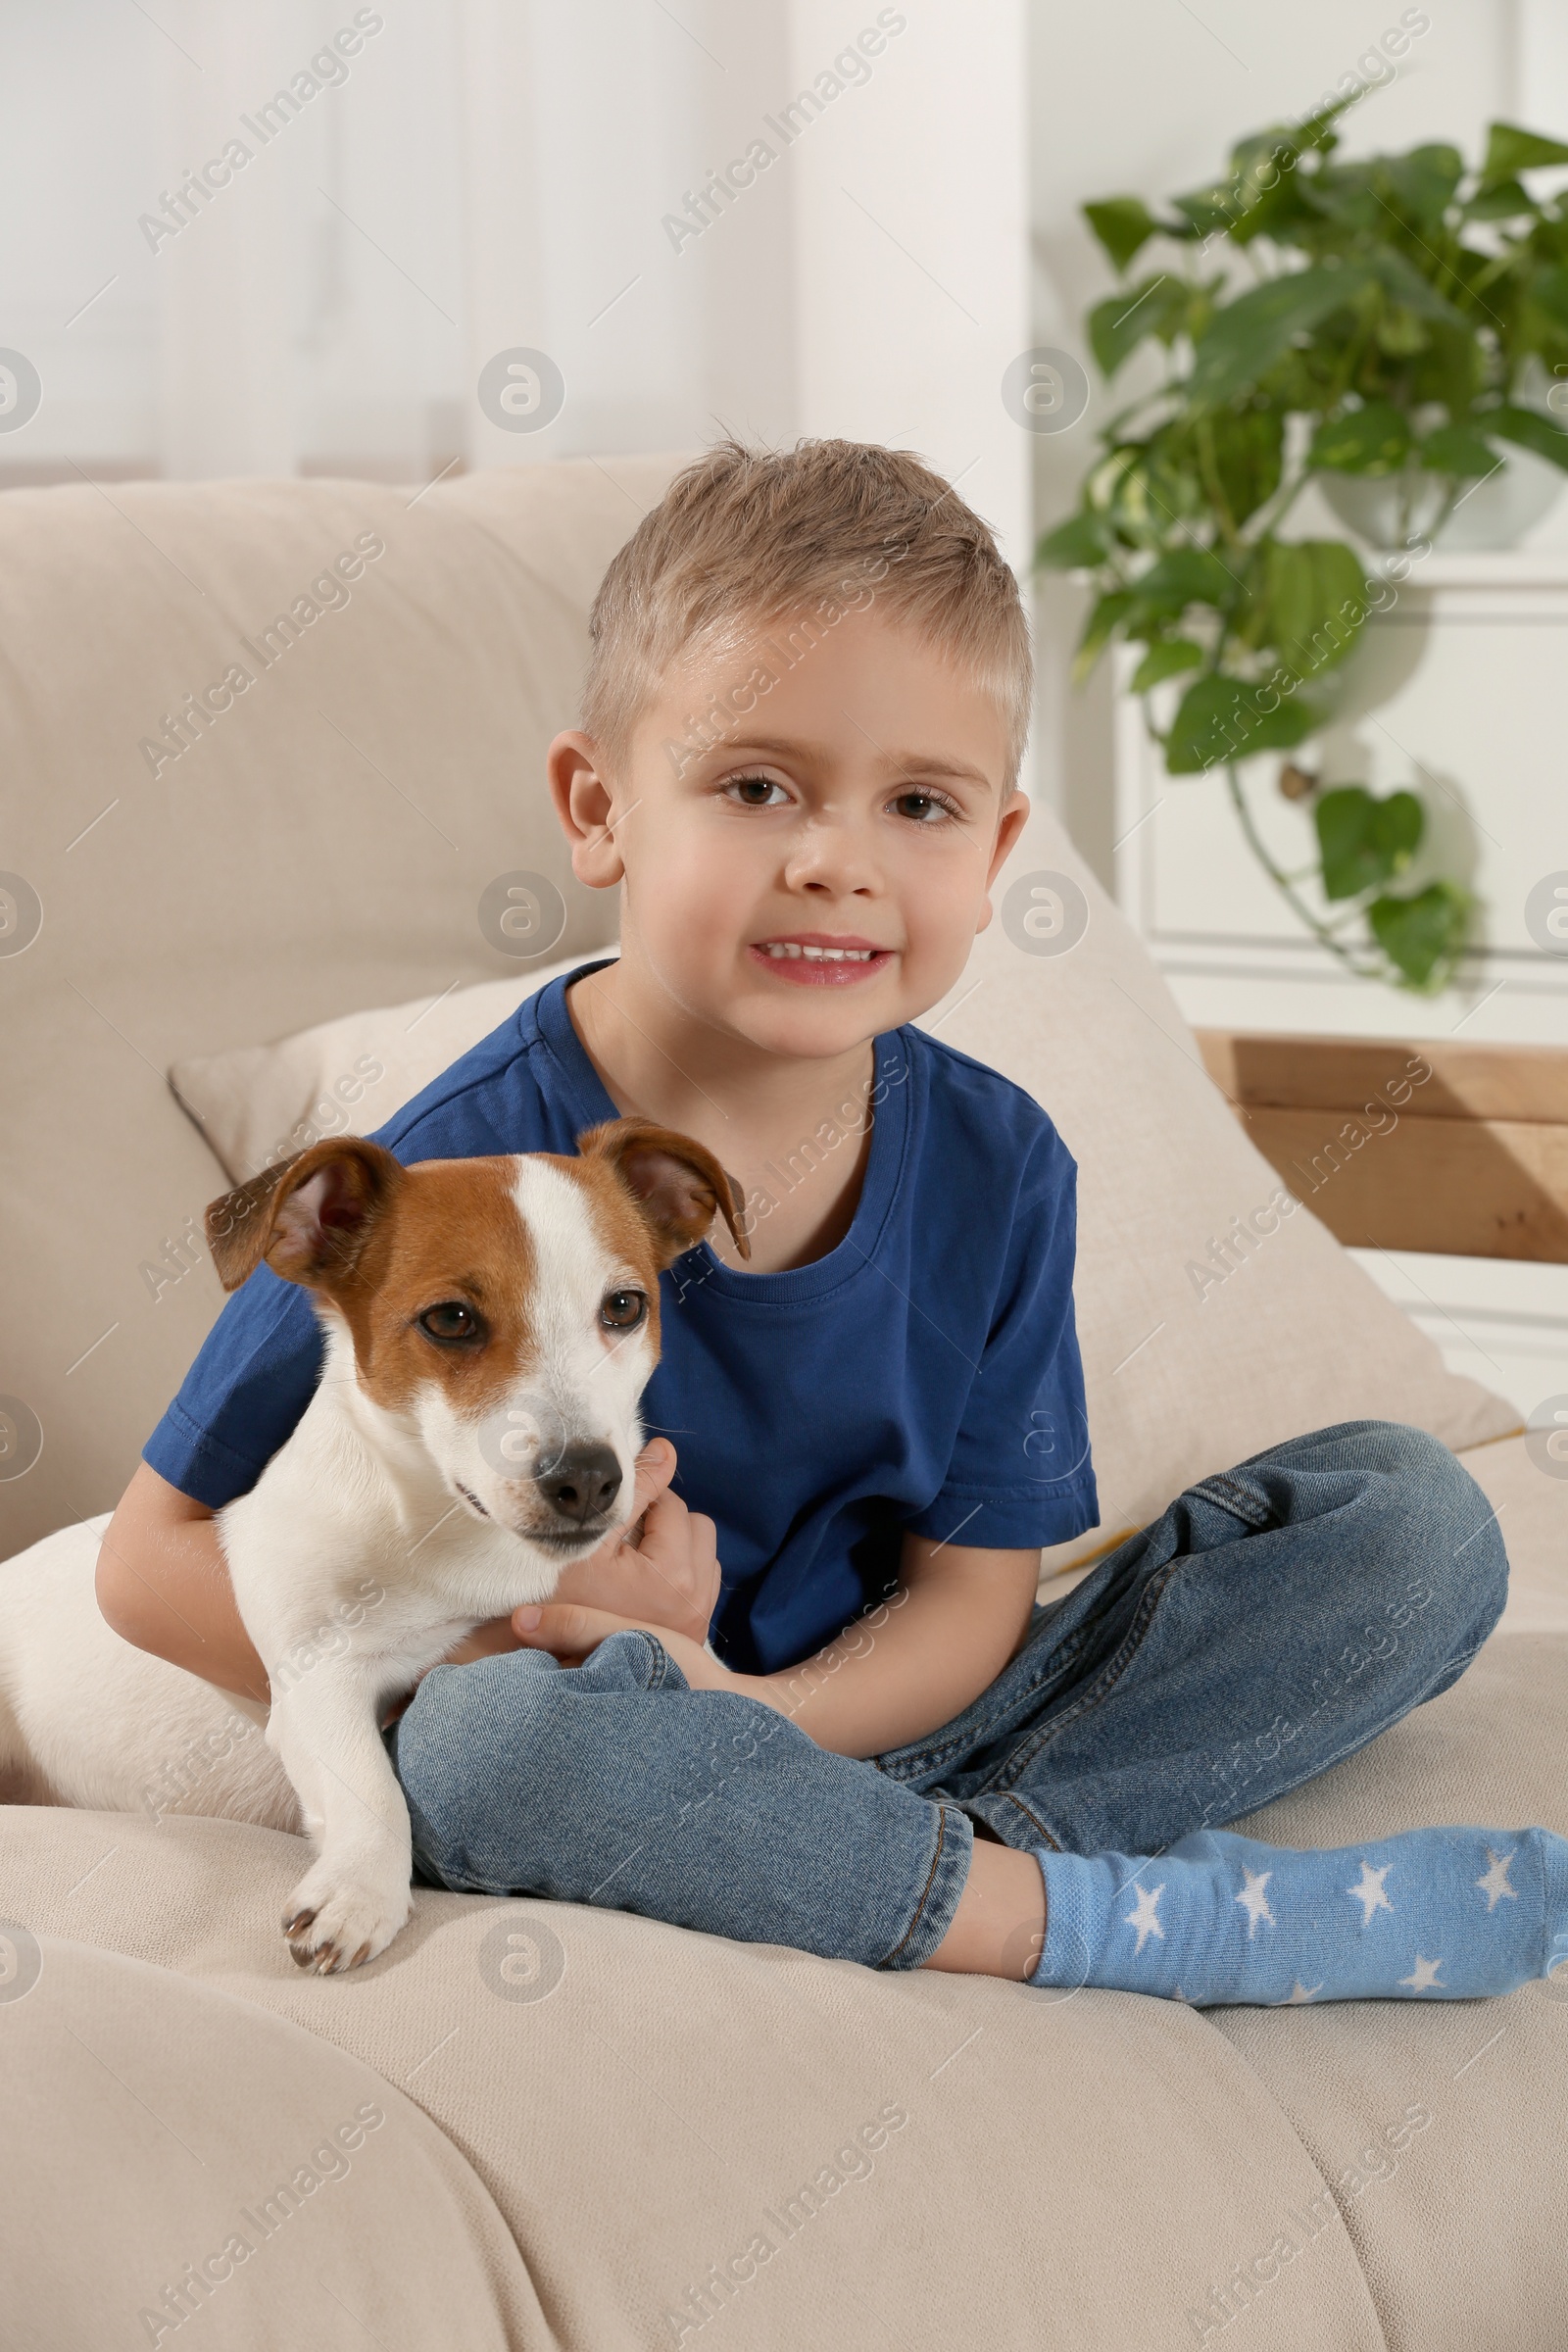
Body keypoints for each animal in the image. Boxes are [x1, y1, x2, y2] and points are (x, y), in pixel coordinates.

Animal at [0, 1119, 747, 1966]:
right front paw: (360, 1888)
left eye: (624, 1306)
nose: (587, 1478)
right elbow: (371, 1785)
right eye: (450, 1320)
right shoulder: (314, 1678)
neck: (446, 1534)